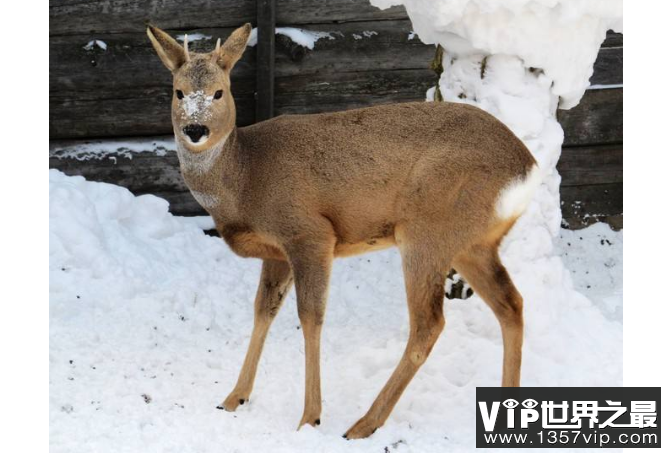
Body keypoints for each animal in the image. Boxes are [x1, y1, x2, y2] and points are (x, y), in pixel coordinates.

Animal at [147, 23, 540, 438]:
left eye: (220, 91)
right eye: (178, 91)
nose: (194, 128)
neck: (245, 177)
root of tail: (527, 169)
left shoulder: (309, 233)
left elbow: (310, 317)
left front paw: (310, 416)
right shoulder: (276, 252)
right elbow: (262, 310)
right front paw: (233, 398)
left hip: (427, 229)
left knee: (429, 324)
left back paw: (363, 423)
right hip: (473, 243)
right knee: (511, 304)